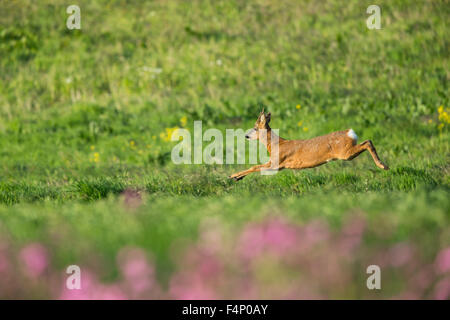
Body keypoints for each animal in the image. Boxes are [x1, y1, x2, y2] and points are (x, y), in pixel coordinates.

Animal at [230, 109, 388, 180]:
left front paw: (234, 176)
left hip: (345, 153)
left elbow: (255, 166)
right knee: (368, 141)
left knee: (367, 142)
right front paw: (238, 177)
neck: (275, 145)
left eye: (255, 128)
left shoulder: (276, 163)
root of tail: (350, 132)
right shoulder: (276, 164)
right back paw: (384, 165)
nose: (246, 135)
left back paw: (382, 165)